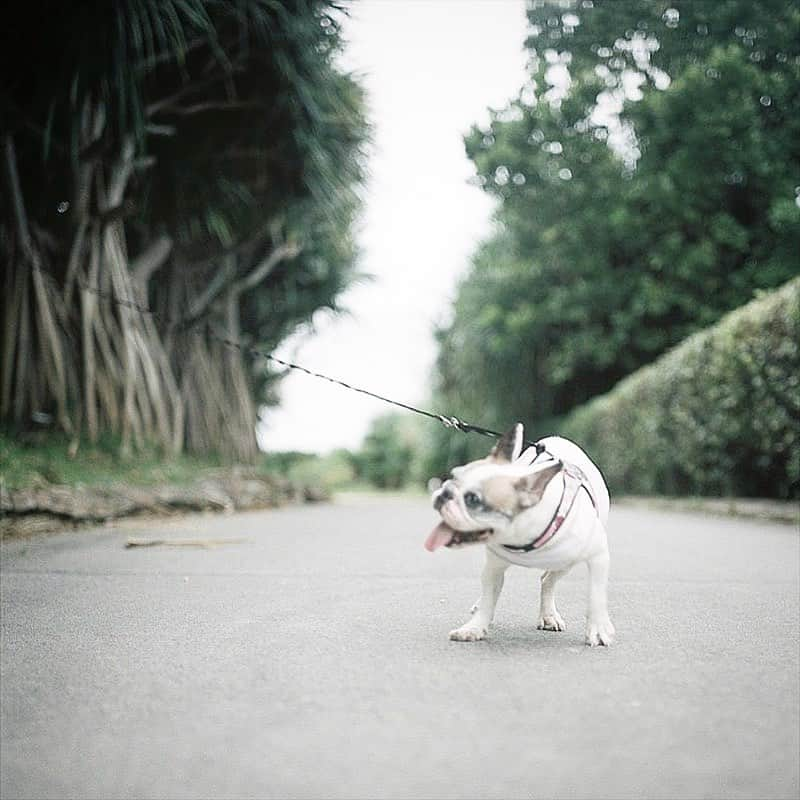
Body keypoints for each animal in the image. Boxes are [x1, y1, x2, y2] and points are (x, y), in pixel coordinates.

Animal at [428, 422, 616, 648]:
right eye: (453, 477)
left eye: (473, 499)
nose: (445, 492)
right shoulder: (494, 566)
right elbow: (489, 596)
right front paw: (474, 628)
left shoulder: (598, 556)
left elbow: (596, 595)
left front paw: (598, 629)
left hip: (565, 563)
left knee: (548, 580)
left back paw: (549, 615)